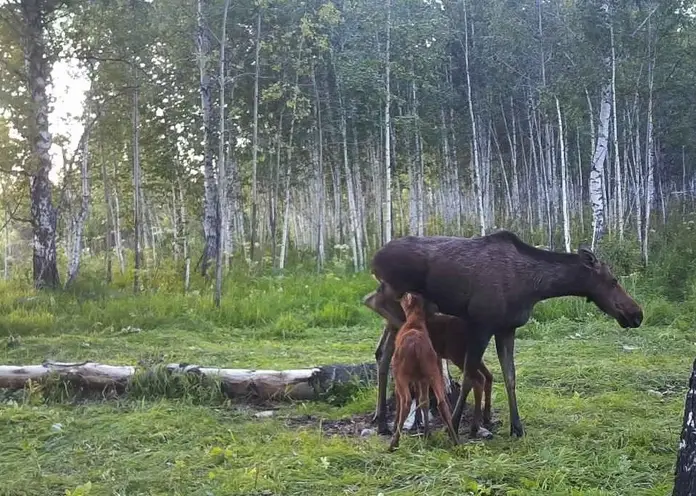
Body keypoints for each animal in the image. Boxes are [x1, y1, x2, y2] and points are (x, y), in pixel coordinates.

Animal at [364, 231, 640, 436]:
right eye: (613, 280)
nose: (637, 313)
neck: (534, 287)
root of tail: (373, 258)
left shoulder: (507, 329)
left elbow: (510, 377)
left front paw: (517, 427)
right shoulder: (481, 324)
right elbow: (469, 377)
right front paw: (455, 422)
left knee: (383, 353)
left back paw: (382, 421)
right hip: (396, 293)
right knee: (373, 304)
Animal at [388, 292, 460, 452]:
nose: (399, 296)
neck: (414, 323)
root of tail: (416, 347)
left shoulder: (401, 376)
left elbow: (401, 400)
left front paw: (395, 426)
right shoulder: (422, 378)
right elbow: (424, 401)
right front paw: (427, 432)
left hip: (401, 374)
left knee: (406, 401)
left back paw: (393, 443)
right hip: (432, 371)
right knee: (441, 402)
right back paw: (455, 440)